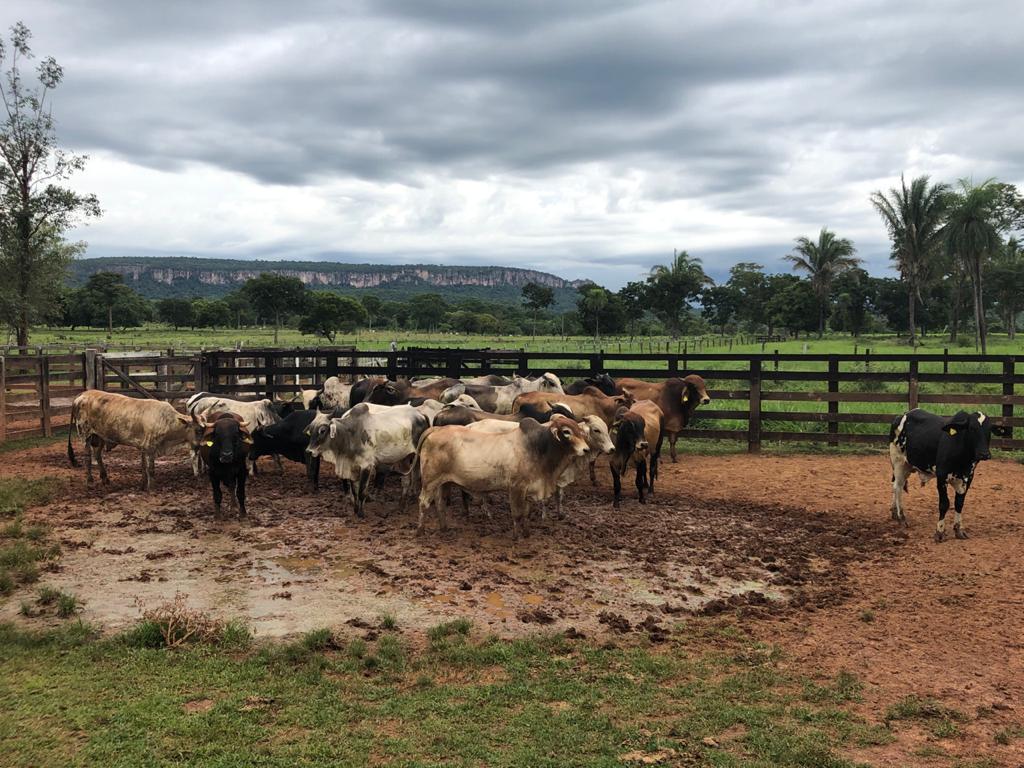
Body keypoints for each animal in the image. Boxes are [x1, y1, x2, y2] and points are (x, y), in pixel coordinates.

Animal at [66, 391, 199, 493]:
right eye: (199, 430)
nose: (199, 446)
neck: (166, 420)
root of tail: (82, 395)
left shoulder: (144, 447)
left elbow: (144, 466)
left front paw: (143, 484)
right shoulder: (150, 447)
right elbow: (150, 469)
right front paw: (151, 487)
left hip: (100, 436)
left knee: (98, 454)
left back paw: (105, 478)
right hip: (85, 434)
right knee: (87, 457)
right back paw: (89, 480)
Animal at [888, 409, 1007, 540]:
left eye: (989, 429)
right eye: (971, 428)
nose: (984, 454)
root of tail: (903, 415)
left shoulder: (968, 478)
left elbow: (959, 503)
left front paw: (959, 529)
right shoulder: (941, 477)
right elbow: (944, 504)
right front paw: (940, 531)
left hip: (907, 466)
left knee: (896, 485)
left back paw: (894, 512)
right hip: (898, 462)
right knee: (898, 487)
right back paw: (901, 517)